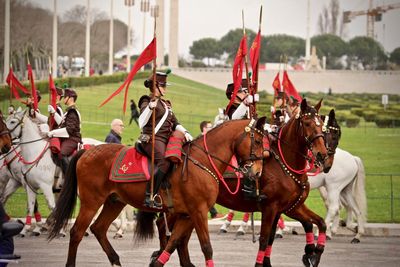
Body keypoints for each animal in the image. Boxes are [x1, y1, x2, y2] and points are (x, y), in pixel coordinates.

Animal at [47, 118, 268, 267]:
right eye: (257, 141)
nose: (257, 172)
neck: (202, 161)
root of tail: (88, 150)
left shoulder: (186, 214)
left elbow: (173, 242)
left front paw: (157, 261)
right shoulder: (198, 211)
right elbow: (206, 247)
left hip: (114, 201)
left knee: (99, 229)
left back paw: (116, 260)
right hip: (91, 201)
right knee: (77, 232)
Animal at [152, 99, 332, 267]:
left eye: (322, 125)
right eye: (307, 123)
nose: (322, 155)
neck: (286, 163)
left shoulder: (289, 207)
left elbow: (318, 223)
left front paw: (313, 253)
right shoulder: (272, 207)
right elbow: (265, 239)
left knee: (175, 234)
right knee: (165, 227)